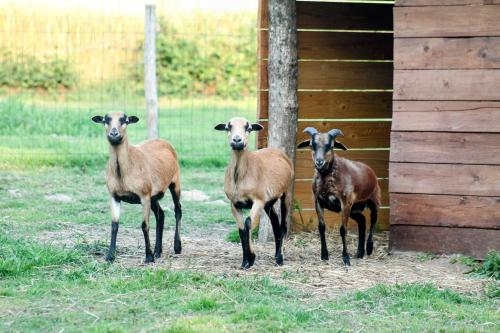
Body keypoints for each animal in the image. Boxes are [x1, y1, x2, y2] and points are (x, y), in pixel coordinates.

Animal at [91, 111, 182, 262]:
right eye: (105, 120)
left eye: (125, 120)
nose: (114, 133)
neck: (123, 172)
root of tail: (162, 141)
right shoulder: (114, 196)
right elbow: (114, 225)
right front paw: (110, 256)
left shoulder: (144, 196)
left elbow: (144, 225)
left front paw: (148, 257)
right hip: (154, 196)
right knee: (161, 215)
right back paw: (158, 251)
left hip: (175, 183)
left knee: (178, 210)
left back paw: (177, 247)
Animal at [214, 116, 292, 268]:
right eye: (228, 127)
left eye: (248, 128)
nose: (237, 140)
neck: (240, 175)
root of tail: (278, 151)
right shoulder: (234, 203)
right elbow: (241, 230)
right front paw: (245, 262)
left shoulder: (258, 200)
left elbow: (248, 223)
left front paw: (252, 257)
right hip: (269, 202)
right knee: (275, 223)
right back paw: (276, 255)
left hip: (286, 194)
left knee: (283, 225)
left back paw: (280, 259)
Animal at [296, 127, 378, 268]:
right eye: (311, 145)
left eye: (331, 146)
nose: (319, 161)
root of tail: (369, 170)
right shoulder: (318, 202)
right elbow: (321, 227)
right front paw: (324, 255)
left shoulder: (345, 202)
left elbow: (343, 229)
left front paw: (346, 259)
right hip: (354, 208)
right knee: (362, 220)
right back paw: (359, 253)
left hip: (373, 200)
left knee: (373, 220)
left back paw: (369, 248)